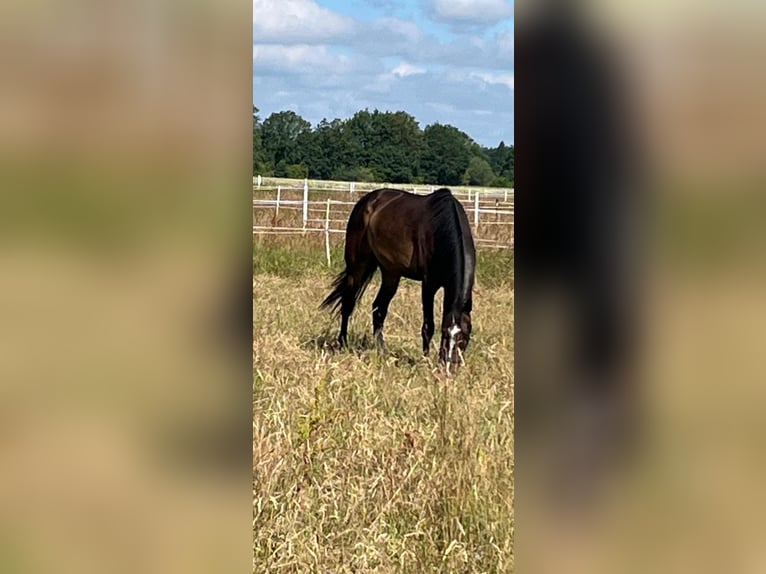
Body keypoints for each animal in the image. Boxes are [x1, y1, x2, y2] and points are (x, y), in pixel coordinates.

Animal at [318, 187, 474, 372]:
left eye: (464, 337)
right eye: (444, 333)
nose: (448, 369)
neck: (441, 228)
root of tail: (368, 200)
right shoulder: (428, 285)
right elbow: (428, 326)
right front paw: (425, 360)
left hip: (391, 273)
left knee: (378, 309)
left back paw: (382, 352)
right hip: (358, 266)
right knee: (348, 303)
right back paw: (343, 343)